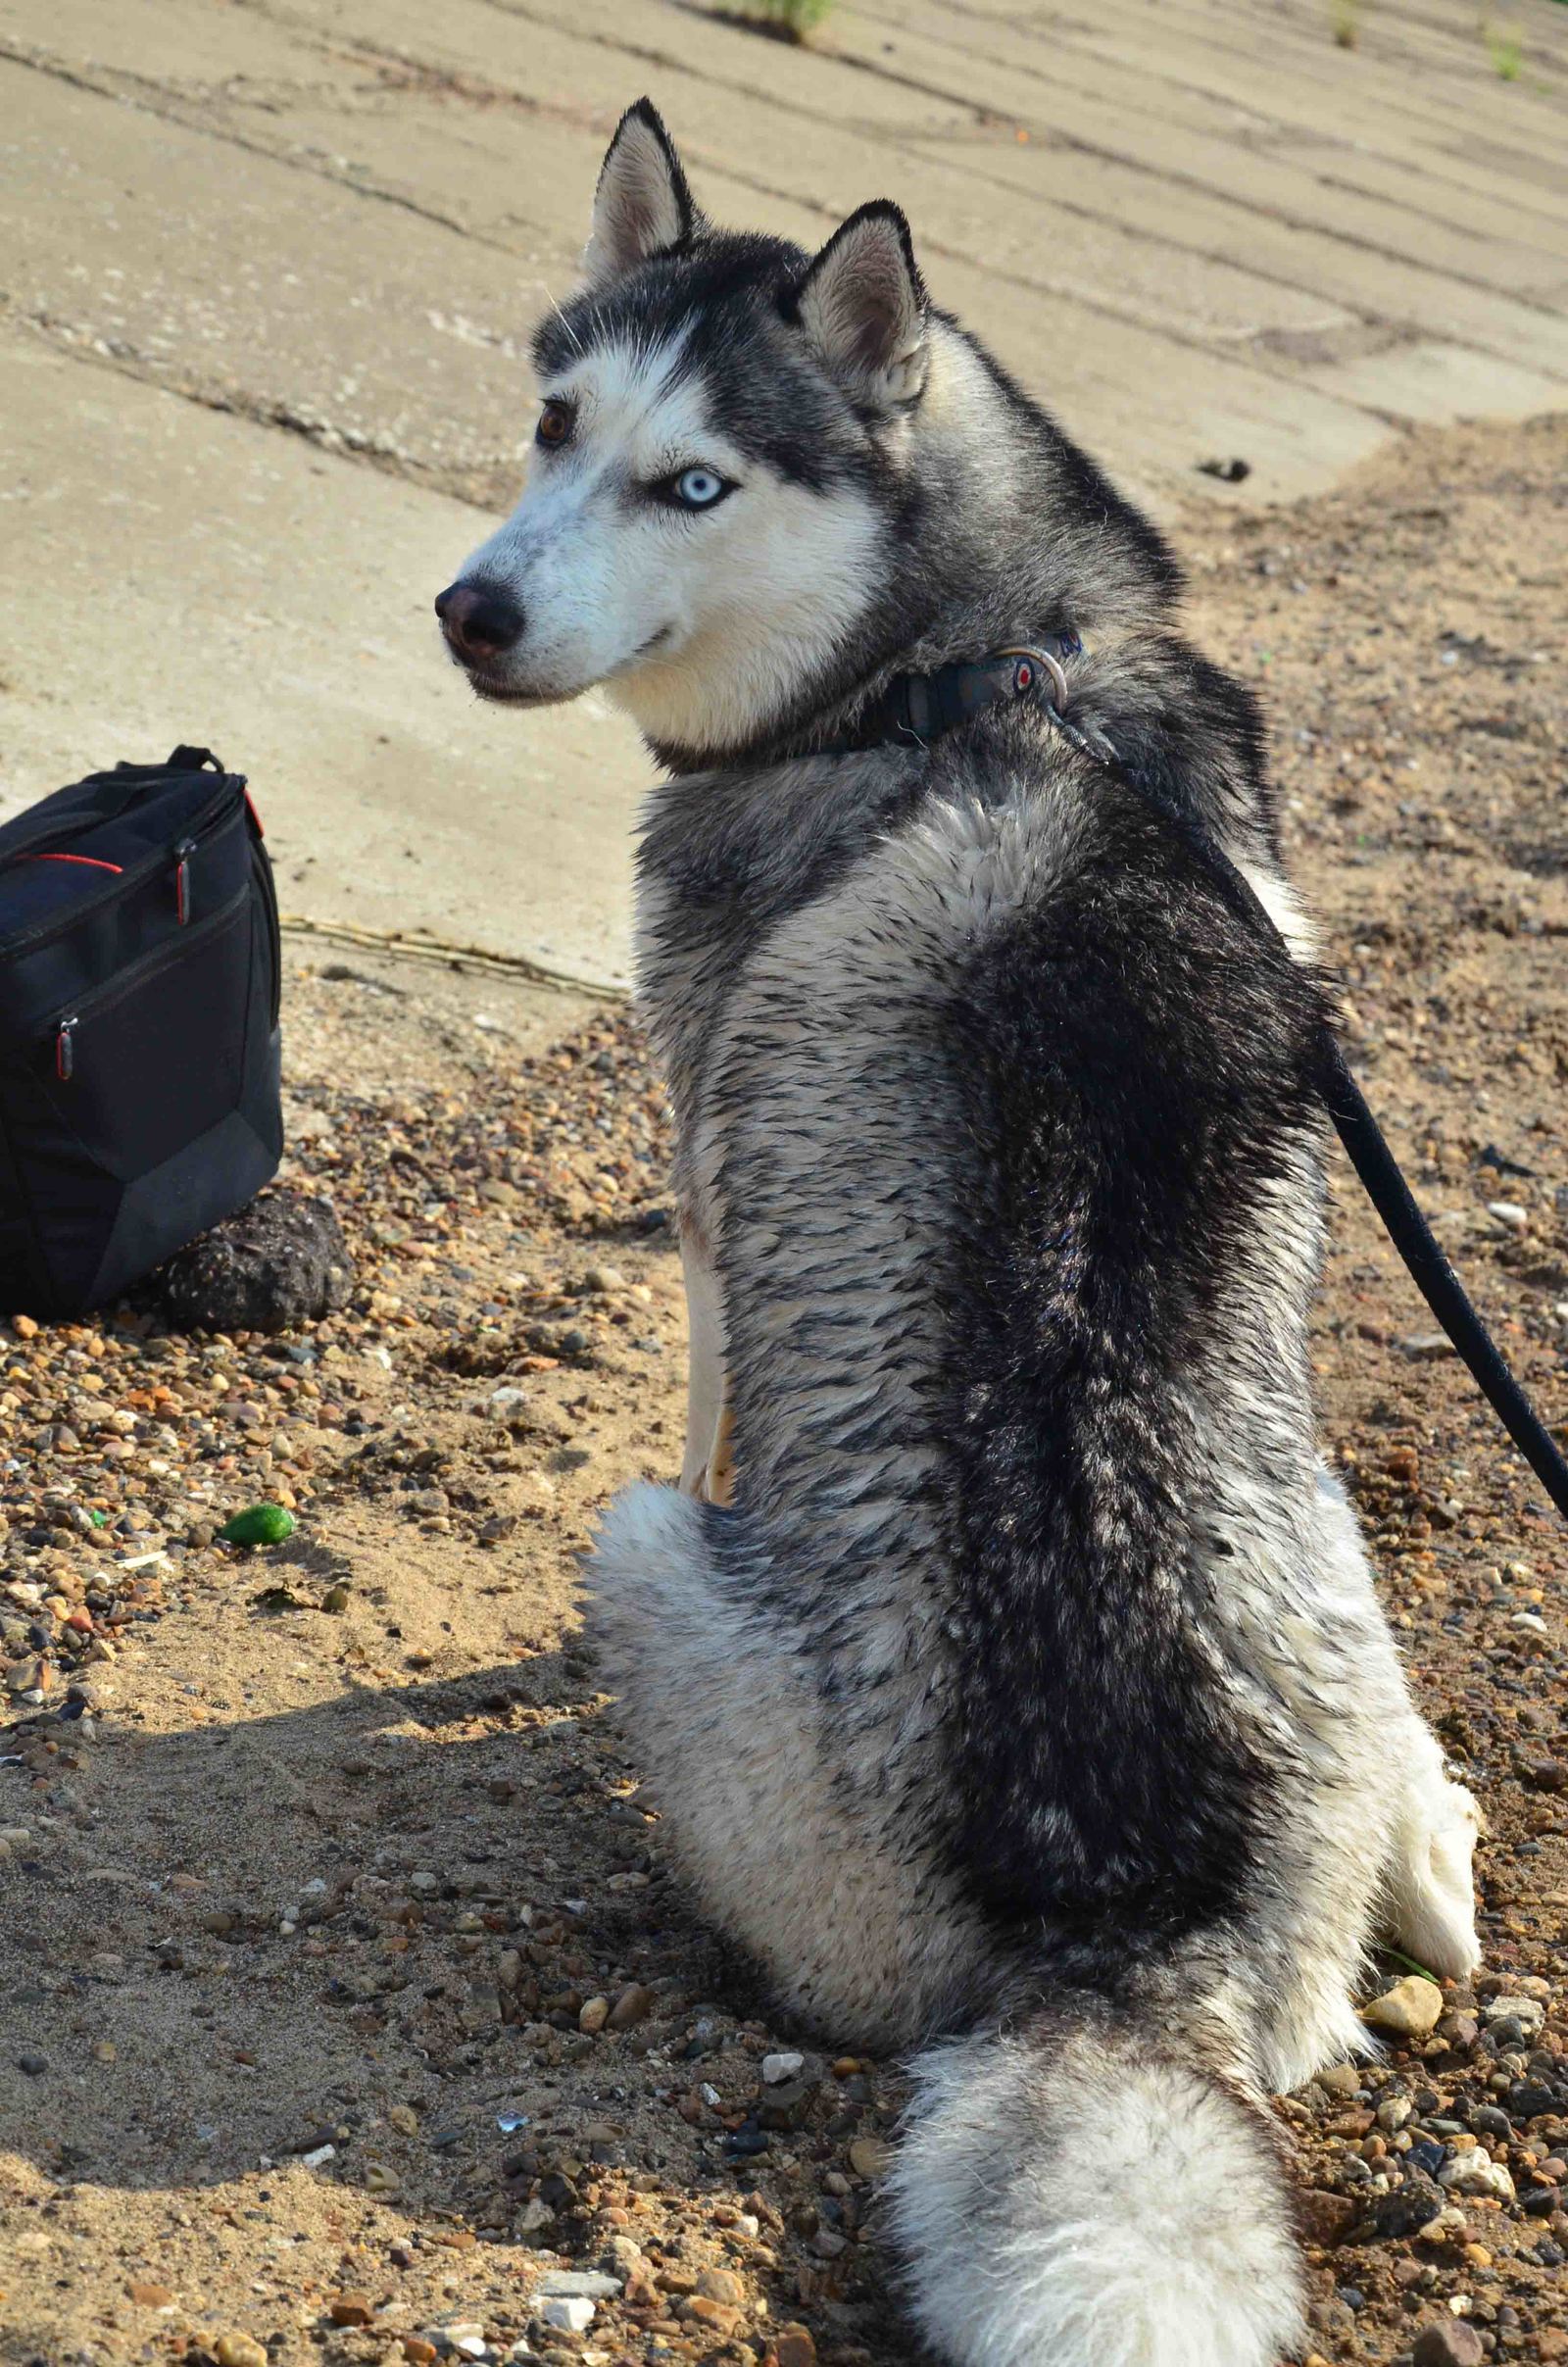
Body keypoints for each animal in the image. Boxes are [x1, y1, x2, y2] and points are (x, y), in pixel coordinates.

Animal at [442, 101, 1485, 2367]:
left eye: (693, 483)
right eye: (556, 423)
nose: (468, 610)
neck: (968, 669)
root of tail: (1115, 1925)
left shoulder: (700, 1147)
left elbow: (716, 1382)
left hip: (637, 1564)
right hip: (1321, 1542)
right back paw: (1439, 1838)